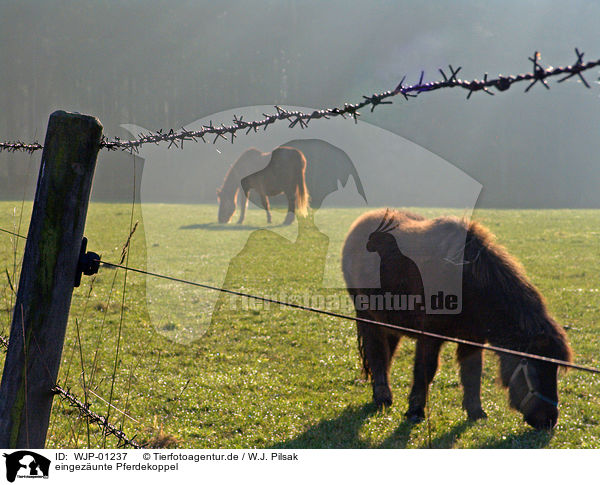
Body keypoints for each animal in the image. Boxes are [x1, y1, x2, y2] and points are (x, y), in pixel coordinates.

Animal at [342, 207, 572, 428]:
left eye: (555, 369)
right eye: (536, 368)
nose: (549, 420)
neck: (467, 282)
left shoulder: (473, 339)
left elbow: (472, 372)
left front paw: (475, 411)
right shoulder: (430, 336)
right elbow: (425, 370)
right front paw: (415, 410)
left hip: (390, 323)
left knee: (386, 353)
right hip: (367, 318)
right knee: (376, 353)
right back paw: (382, 396)